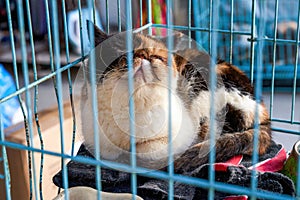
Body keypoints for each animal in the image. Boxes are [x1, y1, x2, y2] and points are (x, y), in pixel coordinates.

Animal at [78, 22, 272, 171]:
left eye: (156, 56)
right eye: (121, 50)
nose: (144, 57)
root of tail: (264, 117)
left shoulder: (182, 133)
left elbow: (148, 149)